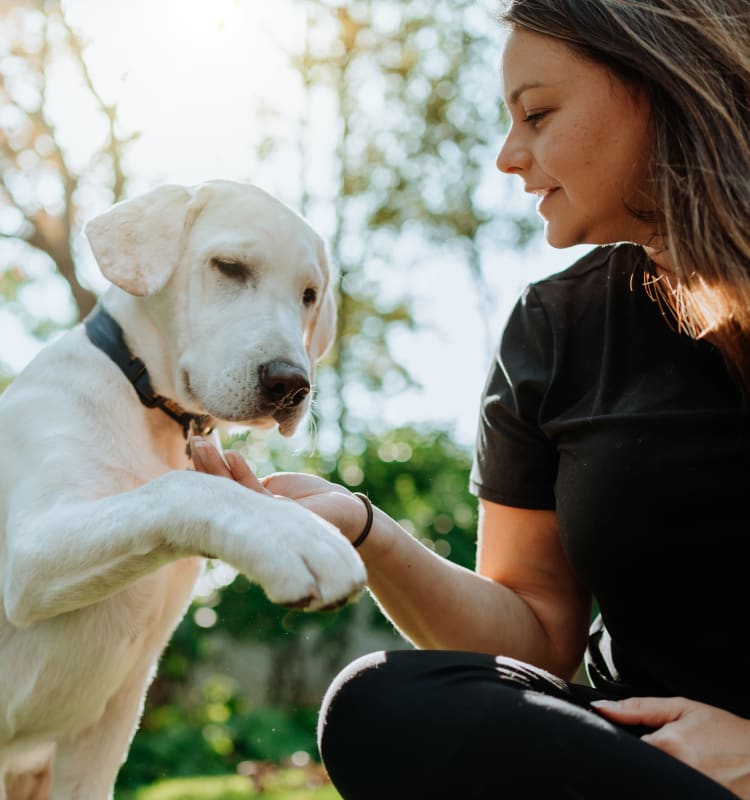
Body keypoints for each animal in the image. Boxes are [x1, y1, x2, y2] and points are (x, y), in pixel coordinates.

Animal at [0, 181, 368, 800]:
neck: (142, 395)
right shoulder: (26, 558)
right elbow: (180, 488)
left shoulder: (106, 724)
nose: (292, 385)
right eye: (230, 267)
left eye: (309, 295)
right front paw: (291, 536)